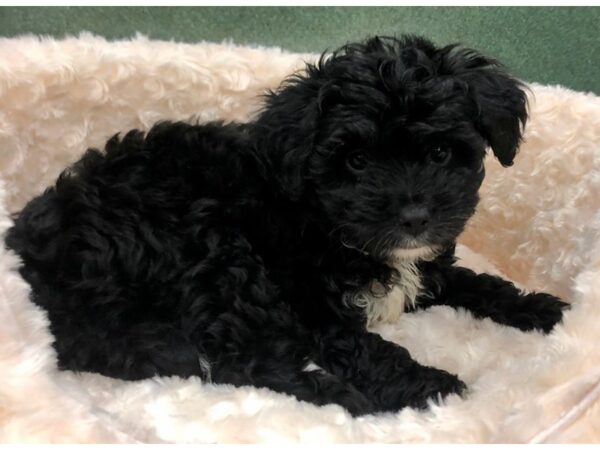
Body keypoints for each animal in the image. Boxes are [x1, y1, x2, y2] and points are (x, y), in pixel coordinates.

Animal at [4, 35, 568, 414]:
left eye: (440, 153)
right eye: (356, 162)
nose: (413, 216)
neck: (327, 221)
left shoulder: (426, 265)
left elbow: (475, 282)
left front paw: (542, 309)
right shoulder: (307, 302)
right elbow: (365, 347)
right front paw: (434, 388)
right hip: (214, 252)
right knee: (244, 363)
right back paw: (344, 397)